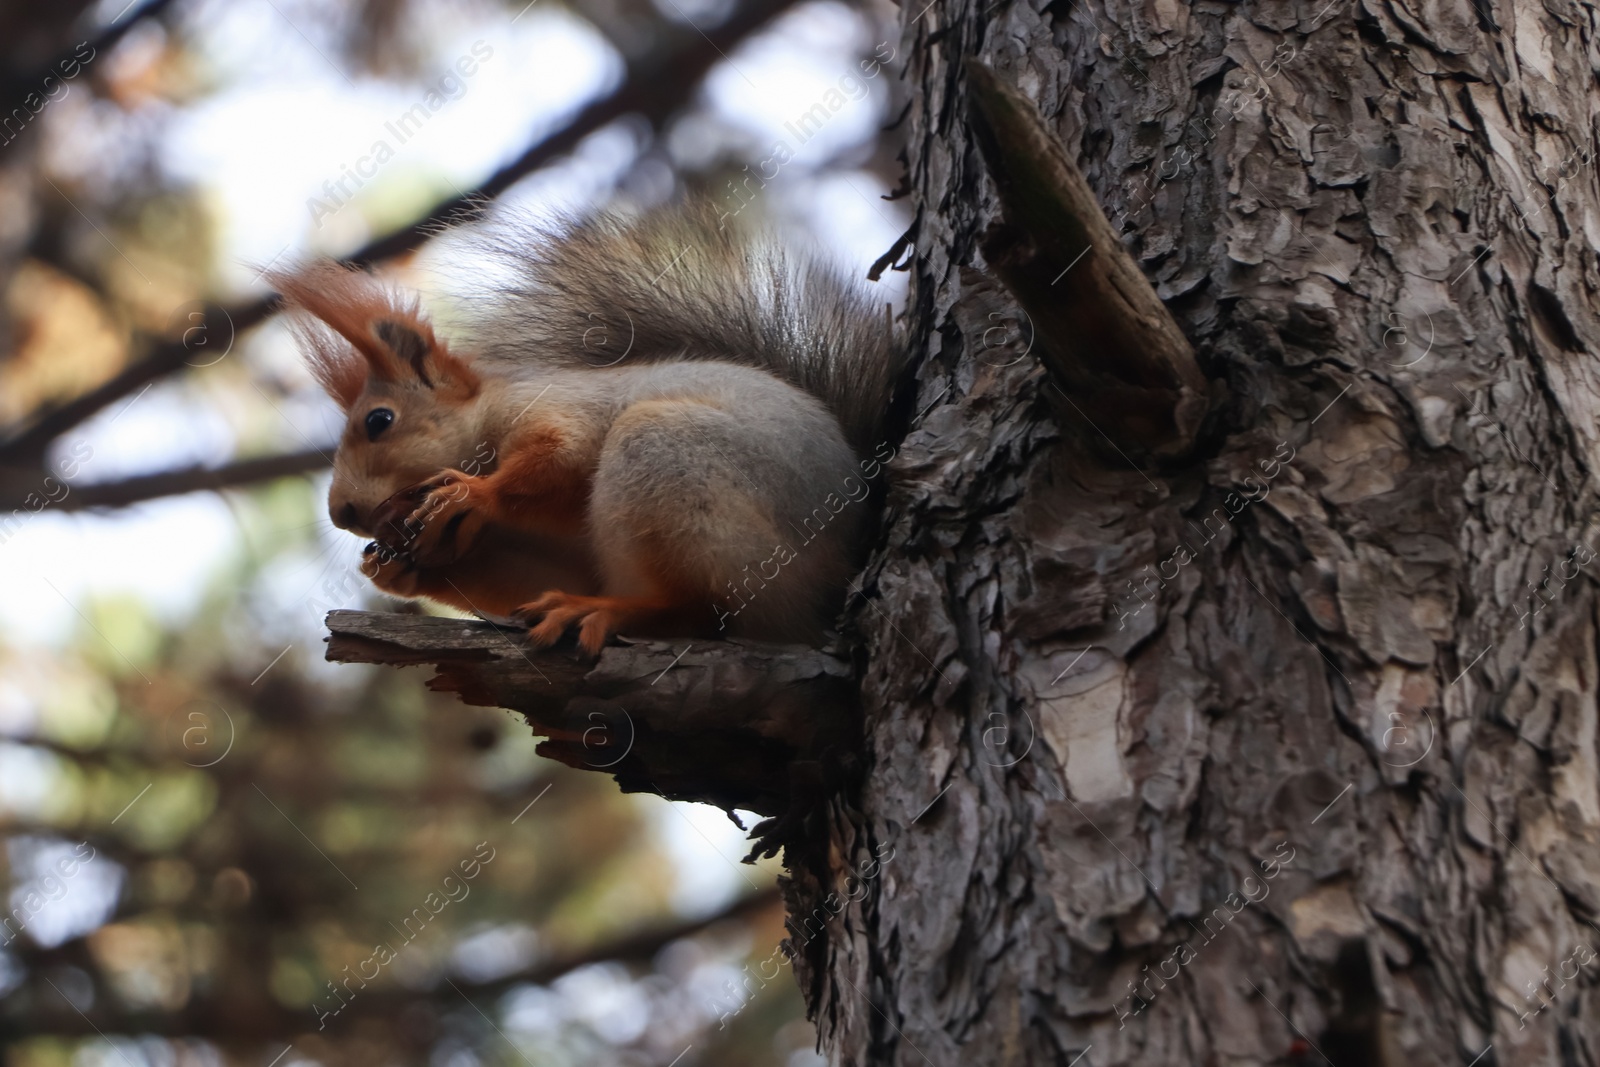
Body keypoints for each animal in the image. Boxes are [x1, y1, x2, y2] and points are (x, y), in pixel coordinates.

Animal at [272, 198, 902, 652]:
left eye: (379, 421)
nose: (341, 512)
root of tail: (837, 573)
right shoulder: (558, 551)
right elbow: (533, 574)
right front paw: (398, 568)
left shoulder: (559, 407)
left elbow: (563, 456)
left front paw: (472, 493)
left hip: (676, 463)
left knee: (704, 609)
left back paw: (606, 610)